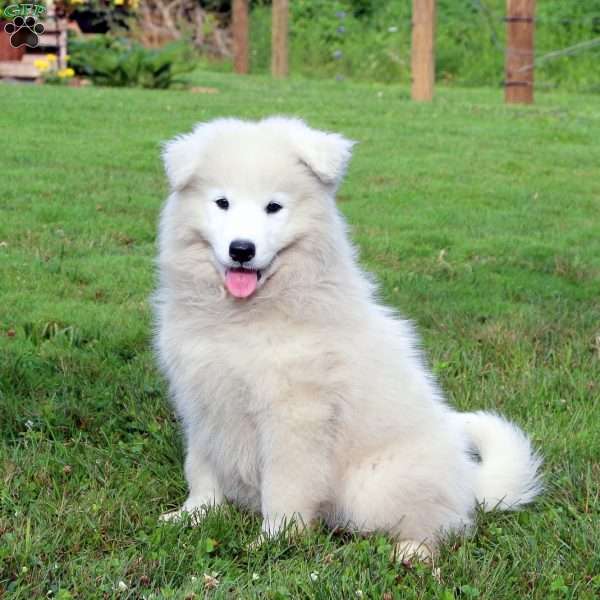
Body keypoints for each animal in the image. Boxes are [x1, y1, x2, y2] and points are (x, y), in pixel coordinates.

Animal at [152, 115, 540, 556]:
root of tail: (467, 484)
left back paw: (412, 553)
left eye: (274, 207)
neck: (242, 317)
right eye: (222, 203)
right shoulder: (201, 400)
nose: (241, 250)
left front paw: (273, 540)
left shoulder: (295, 415)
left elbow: (283, 487)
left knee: (441, 524)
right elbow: (201, 468)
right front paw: (194, 515)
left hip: (375, 486)